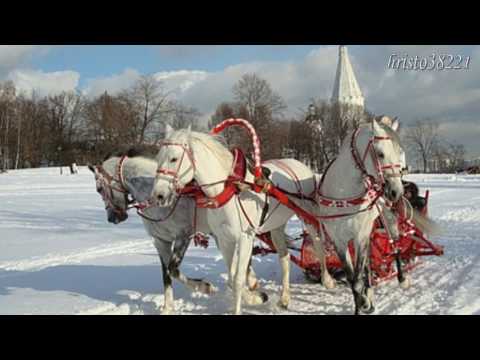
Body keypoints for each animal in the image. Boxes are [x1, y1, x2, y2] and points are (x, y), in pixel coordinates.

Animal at [153, 126, 330, 316]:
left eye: (174, 158)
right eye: (158, 158)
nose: (158, 195)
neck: (229, 188)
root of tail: (302, 165)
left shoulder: (245, 238)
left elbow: (238, 280)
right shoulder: (225, 239)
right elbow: (231, 278)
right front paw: (256, 297)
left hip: (307, 216)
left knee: (318, 245)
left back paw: (327, 279)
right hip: (276, 226)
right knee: (285, 257)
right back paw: (284, 298)